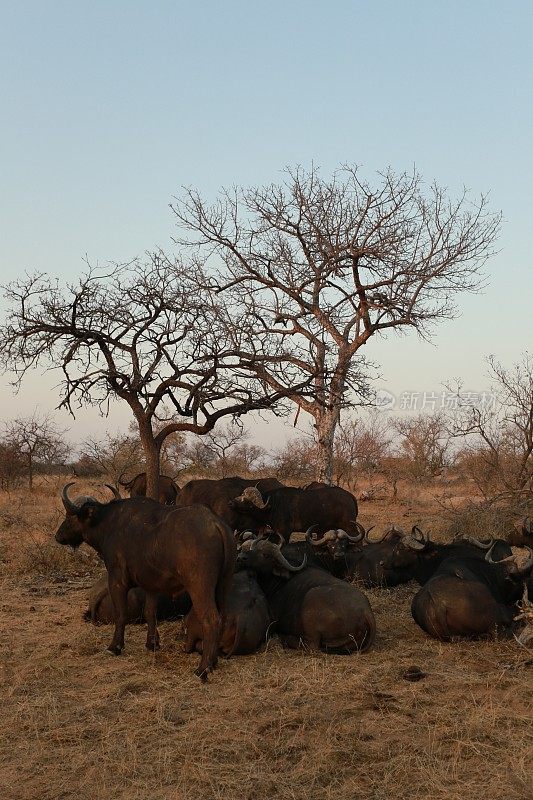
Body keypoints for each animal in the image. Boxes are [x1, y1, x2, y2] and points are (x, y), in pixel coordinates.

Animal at [55, 484, 236, 680]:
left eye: (69, 515)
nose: (58, 536)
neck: (109, 524)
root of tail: (215, 524)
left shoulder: (117, 581)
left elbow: (121, 614)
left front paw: (115, 647)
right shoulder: (151, 586)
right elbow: (150, 613)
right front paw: (152, 644)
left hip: (200, 588)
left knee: (211, 619)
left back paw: (203, 668)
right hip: (224, 584)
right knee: (224, 616)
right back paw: (214, 661)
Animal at [229, 484, 358, 540]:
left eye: (245, 499)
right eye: (241, 494)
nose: (230, 502)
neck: (273, 505)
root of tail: (349, 496)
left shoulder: (284, 533)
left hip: (350, 527)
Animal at [237, 536, 374, 648]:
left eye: (265, 555)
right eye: (249, 549)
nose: (241, 557)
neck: (277, 579)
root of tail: (366, 612)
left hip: (311, 599)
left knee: (312, 645)